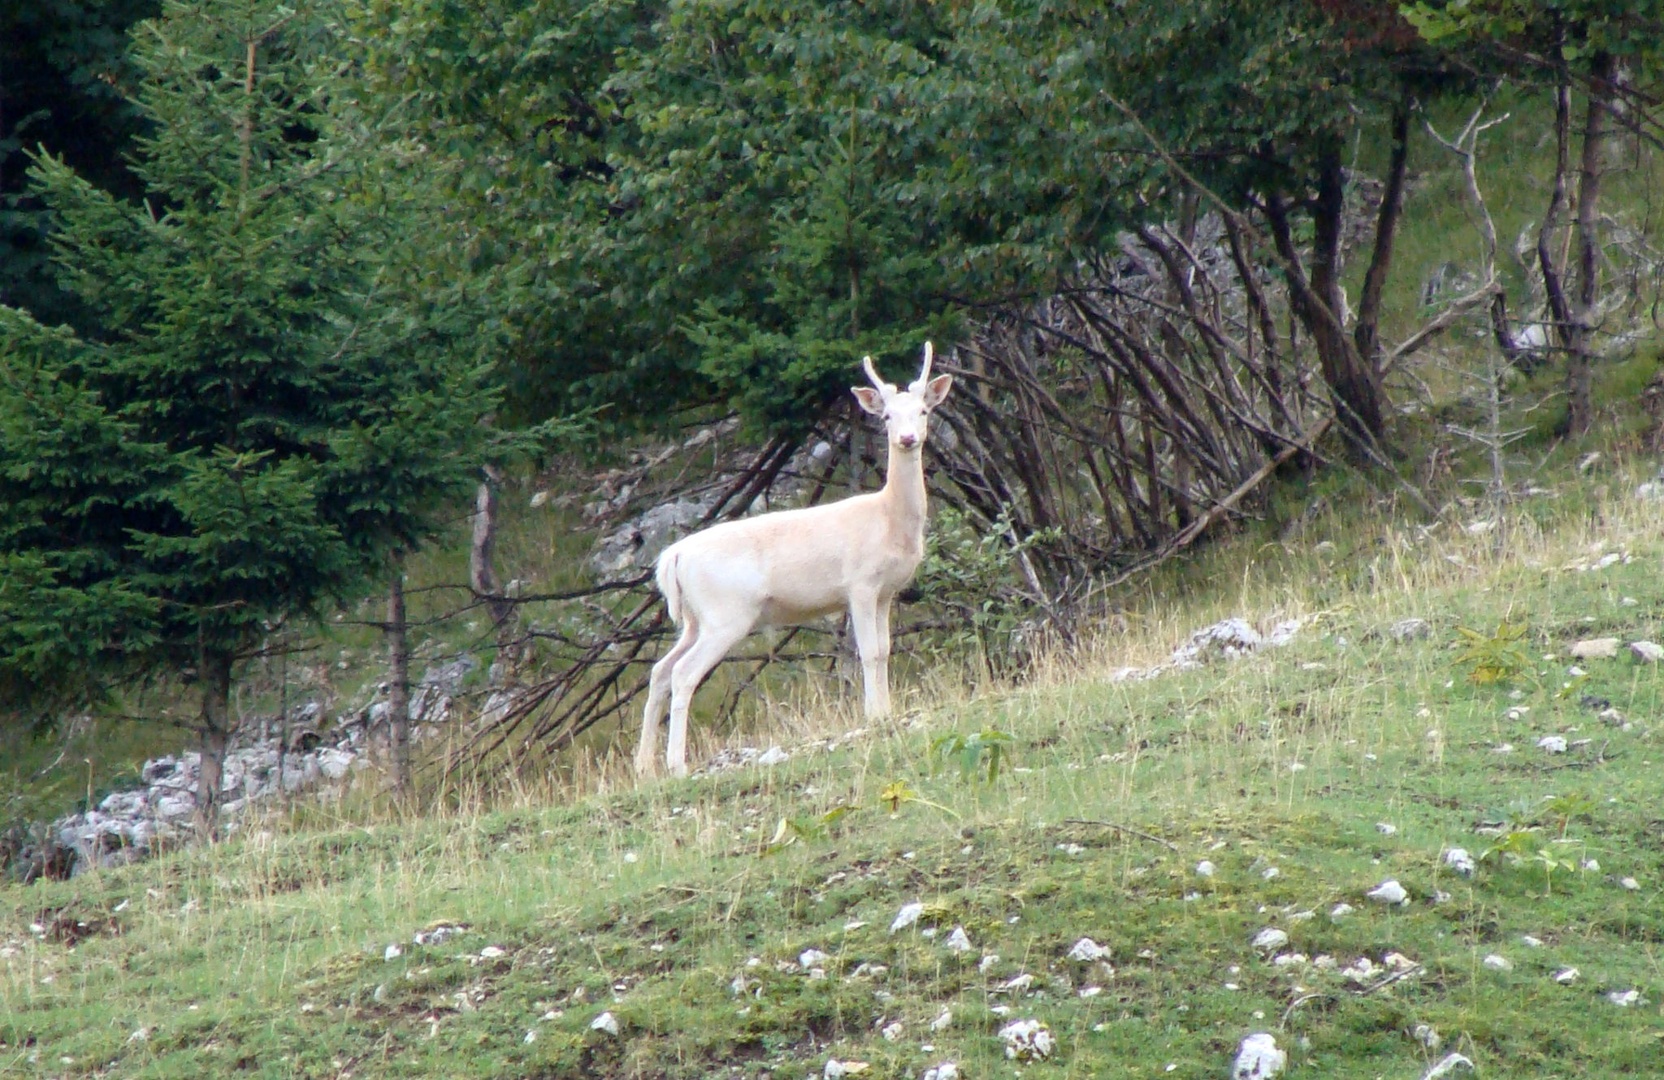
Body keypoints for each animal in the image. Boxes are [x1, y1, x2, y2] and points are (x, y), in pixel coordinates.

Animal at [635, 342, 954, 777]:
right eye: (886, 415)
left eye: (923, 410)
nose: (906, 438)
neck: (888, 520)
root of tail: (673, 556)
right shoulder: (859, 584)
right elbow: (869, 651)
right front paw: (874, 716)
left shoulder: (887, 591)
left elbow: (886, 650)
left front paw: (885, 710)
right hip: (725, 614)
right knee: (684, 674)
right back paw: (676, 765)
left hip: (694, 620)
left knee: (660, 670)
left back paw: (643, 767)